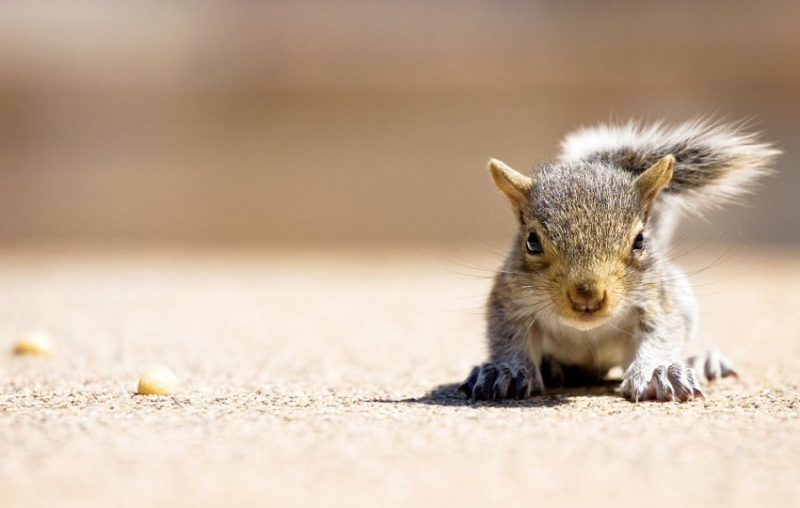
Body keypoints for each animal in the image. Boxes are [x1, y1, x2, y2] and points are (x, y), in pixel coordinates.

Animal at [460, 121, 780, 402]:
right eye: (532, 242)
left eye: (640, 240)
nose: (587, 296)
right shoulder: (510, 299)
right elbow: (509, 335)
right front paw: (505, 371)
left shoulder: (654, 300)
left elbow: (661, 332)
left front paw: (657, 372)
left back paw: (703, 360)